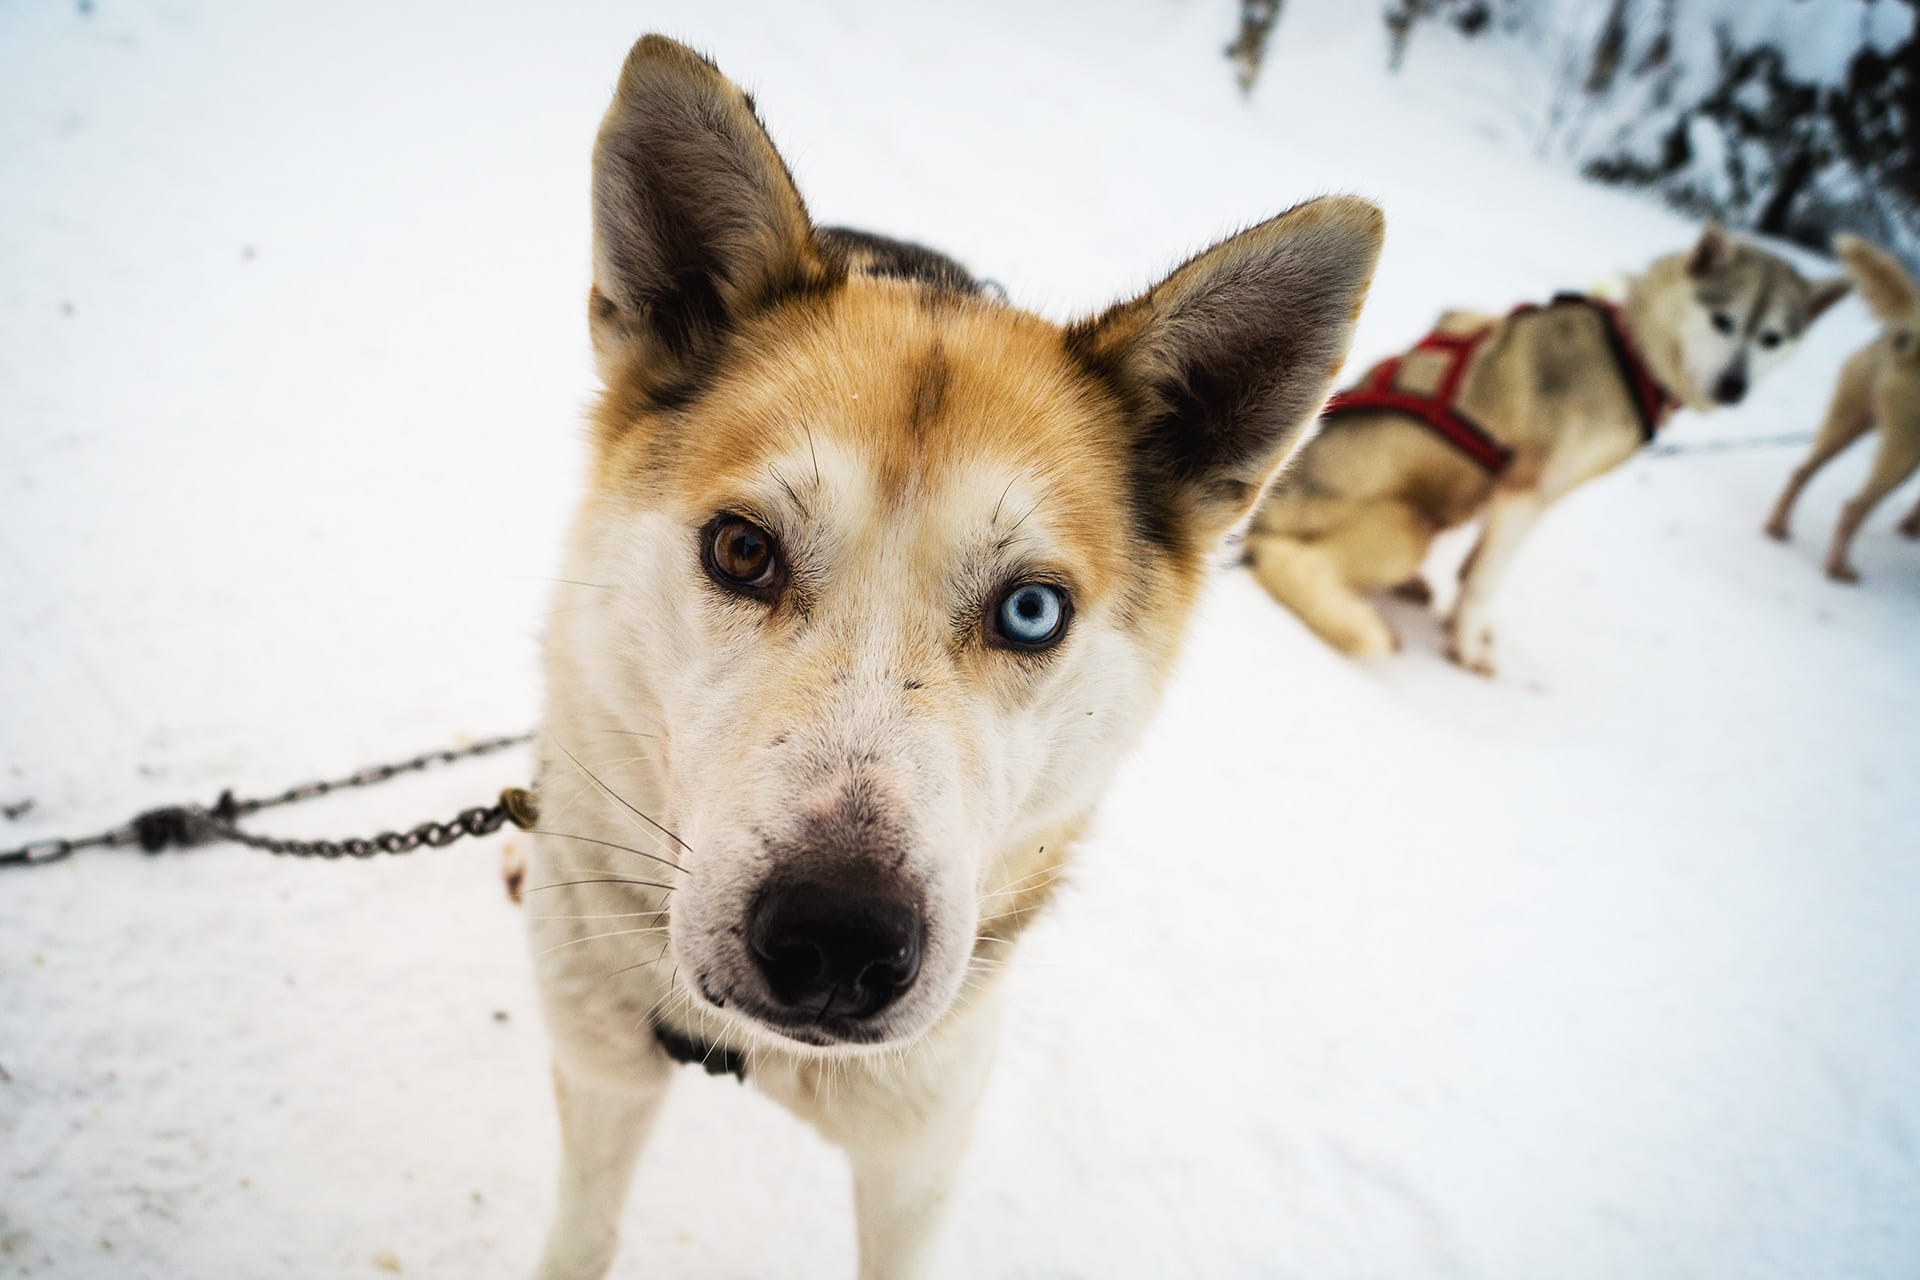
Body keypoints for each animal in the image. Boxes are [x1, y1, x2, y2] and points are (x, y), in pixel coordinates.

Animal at [526, 35, 1382, 1274]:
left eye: (1030, 611)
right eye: (741, 549)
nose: (837, 932)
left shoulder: (917, 1159)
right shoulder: (602, 1076)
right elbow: (584, 1225)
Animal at [1244, 224, 1843, 675]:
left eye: (1772, 337)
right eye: (1723, 320)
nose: (1733, 386)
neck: (1630, 351)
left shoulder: (1510, 496)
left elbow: (1474, 572)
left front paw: (1461, 625)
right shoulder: (1529, 490)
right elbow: (1485, 581)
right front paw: (1466, 648)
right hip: (1408, 526)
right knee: (1285, 559)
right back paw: (1363, 619)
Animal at [1766, 235, 1920, 579]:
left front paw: (1910, 526)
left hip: (1848, 421)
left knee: (1800, 472)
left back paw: (1777, 527)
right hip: (1903, 452)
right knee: (1853, 508)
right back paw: (1838, 568)